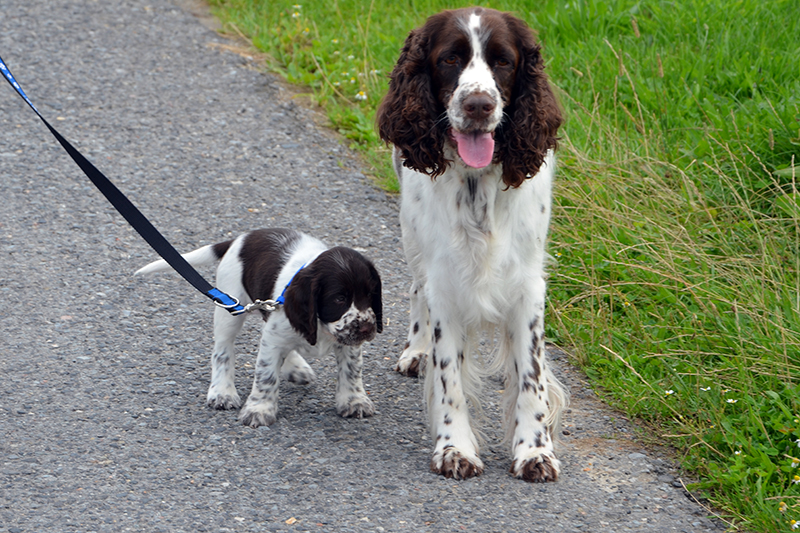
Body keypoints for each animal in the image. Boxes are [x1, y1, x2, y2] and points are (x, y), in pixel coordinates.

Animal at [136, 227, 382, 426]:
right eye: (339, 298)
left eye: (370, 294)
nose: (367, 328)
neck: (322, 327)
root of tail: (240, 239)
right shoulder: (274, 339)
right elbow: (266, 375)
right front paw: (259, 410)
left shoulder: (347, 341)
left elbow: (351, 371)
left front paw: (354, 400)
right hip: (229, 307)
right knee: (222, 351)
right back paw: (222, 392)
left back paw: (296, 367)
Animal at [378, 7, 564, 482]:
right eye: (449, 59)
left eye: (503, 61)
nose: (478, 105)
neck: (478, 183)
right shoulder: (445, 281)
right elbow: (450, 378)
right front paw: (454, 448)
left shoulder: (527, 283)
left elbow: (531, 376)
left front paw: (534, 450)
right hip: (412, 236)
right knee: (415, 289)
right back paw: (416, 351)